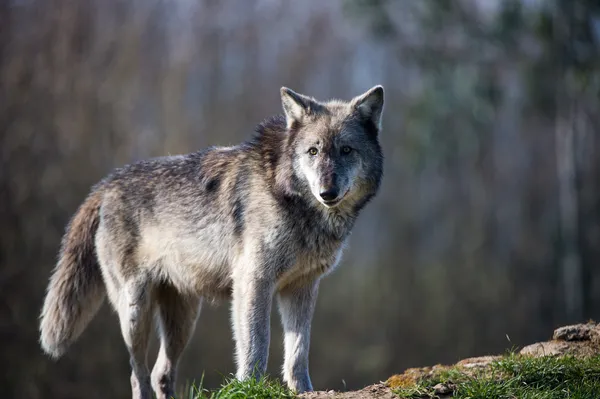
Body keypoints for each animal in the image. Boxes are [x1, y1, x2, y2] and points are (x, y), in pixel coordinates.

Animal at [38, 86, 384, 398]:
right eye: (313, 151)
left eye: (346, 150)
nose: (327, 192)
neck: (288, 194)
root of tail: (106, 184)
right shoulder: (253, 281)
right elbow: (257, 343)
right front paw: (249, 387)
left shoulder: (302, 287)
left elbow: (298, 348)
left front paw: (303, 390)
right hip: (136, 312)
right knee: (138, 375)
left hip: (184, 320)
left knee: (160, 372)